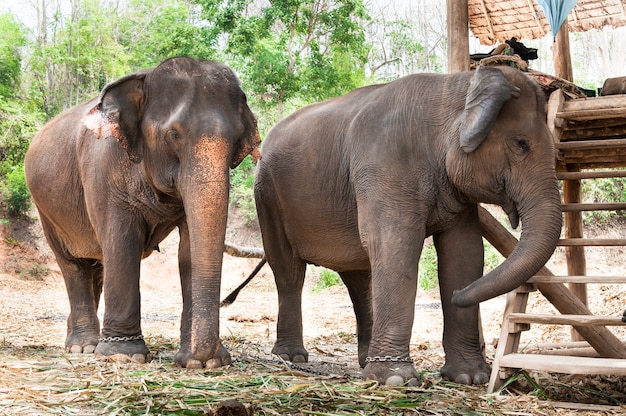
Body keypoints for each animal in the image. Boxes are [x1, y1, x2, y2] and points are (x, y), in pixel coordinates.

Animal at [25, 57, 260, 368]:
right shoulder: (104, 169)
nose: (208, 355)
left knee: (97, 266)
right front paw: (125, 355)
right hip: (47, 210)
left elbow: (188, 253)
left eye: (236, 140)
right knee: (74, 265)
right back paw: (83, 347)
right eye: (173, 134)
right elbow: (123, 244)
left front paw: (199, 363)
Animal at [252, 66, 560, 386]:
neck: (453, 85)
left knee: (358, 277)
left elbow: (464, 254)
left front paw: (470, 377)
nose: (457, 297)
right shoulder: (385, 165)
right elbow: (397, 247)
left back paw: (364, 361)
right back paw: (291, 357)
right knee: (288, 271)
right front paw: (396, 380)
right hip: (268, 198)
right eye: (521, 144)